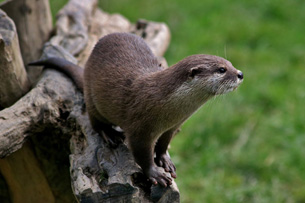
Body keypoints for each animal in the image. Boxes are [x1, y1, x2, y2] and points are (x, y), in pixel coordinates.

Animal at [28, 32, 242, 187]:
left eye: (230, 63)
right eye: (221, 69)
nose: (240, 74)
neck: (167, 106)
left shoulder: (173, 126)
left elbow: (163, 144)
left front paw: (164, 160)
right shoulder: (140, 128)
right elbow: (142, 154)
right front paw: (155, 174)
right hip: (92, 98)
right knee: (95, 122)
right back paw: (109, 134)